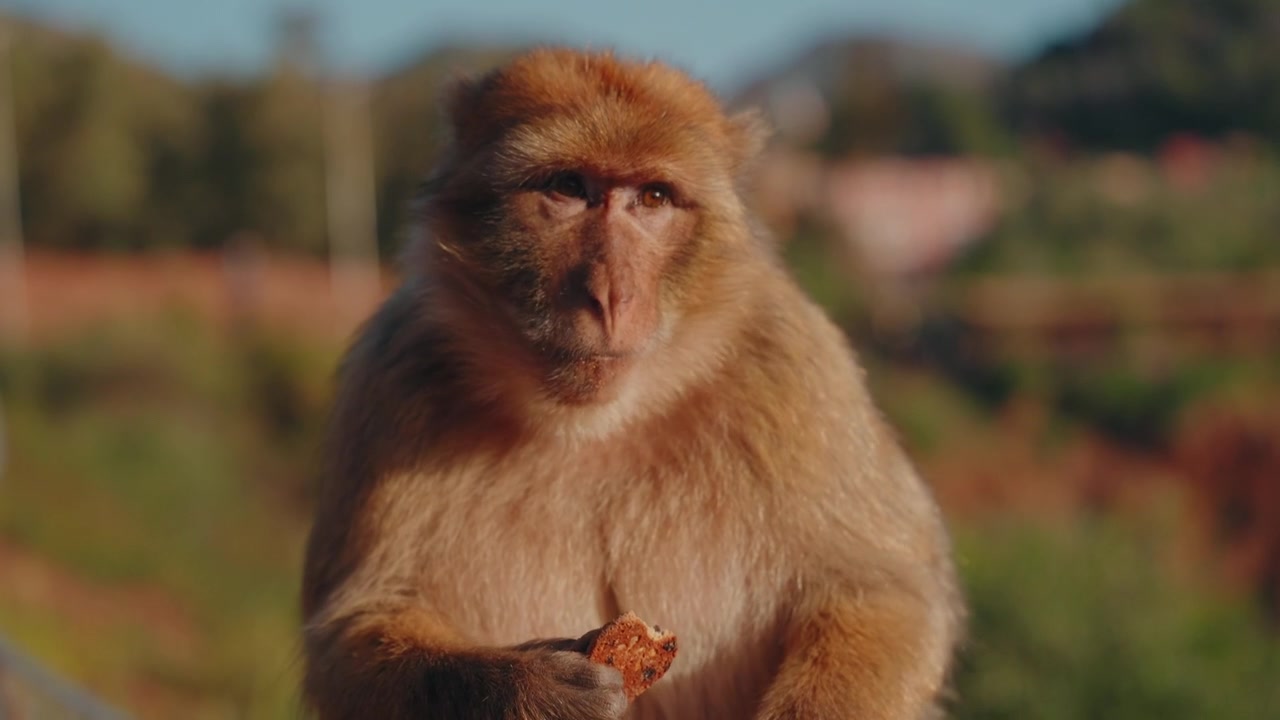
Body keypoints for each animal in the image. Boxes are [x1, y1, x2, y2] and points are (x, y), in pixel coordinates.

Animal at [301, 48, 963, 720]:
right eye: (567, 188)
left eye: (653, 197)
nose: (610, 295)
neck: (597, 421)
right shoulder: (394, 374)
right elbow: (353, 631)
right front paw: (527, 688)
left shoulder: (795, 365)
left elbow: (885, 591)